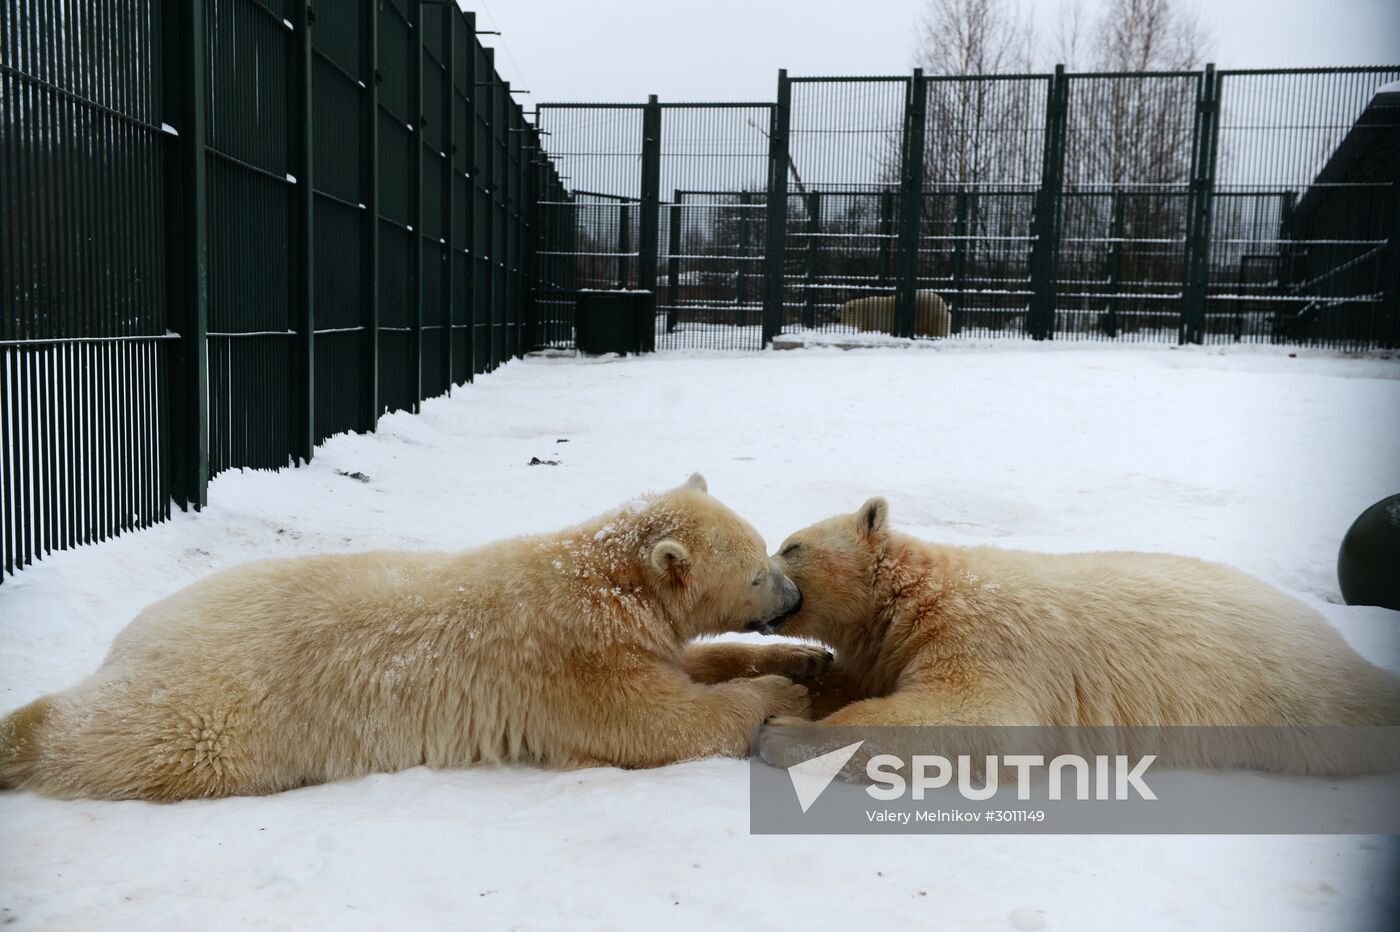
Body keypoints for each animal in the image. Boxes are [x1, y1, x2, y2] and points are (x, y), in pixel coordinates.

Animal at [0, 475, 817, 794]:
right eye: (757, 572)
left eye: (768, 552)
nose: (794, 597)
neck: (602, 580)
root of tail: (130, 641)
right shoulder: (570, 658)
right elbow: (659, 723)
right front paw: (780, 693)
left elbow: (691, 666)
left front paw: (802, 660)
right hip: (215, 708)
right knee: (132, 737)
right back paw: (24, 734)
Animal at [756, 498, 1400, 772]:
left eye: (791, 545)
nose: (761, 571)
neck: (919, 598)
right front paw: (799, 682)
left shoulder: (981, 640)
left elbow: (974, 717)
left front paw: (781, 733)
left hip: (1286, 699)